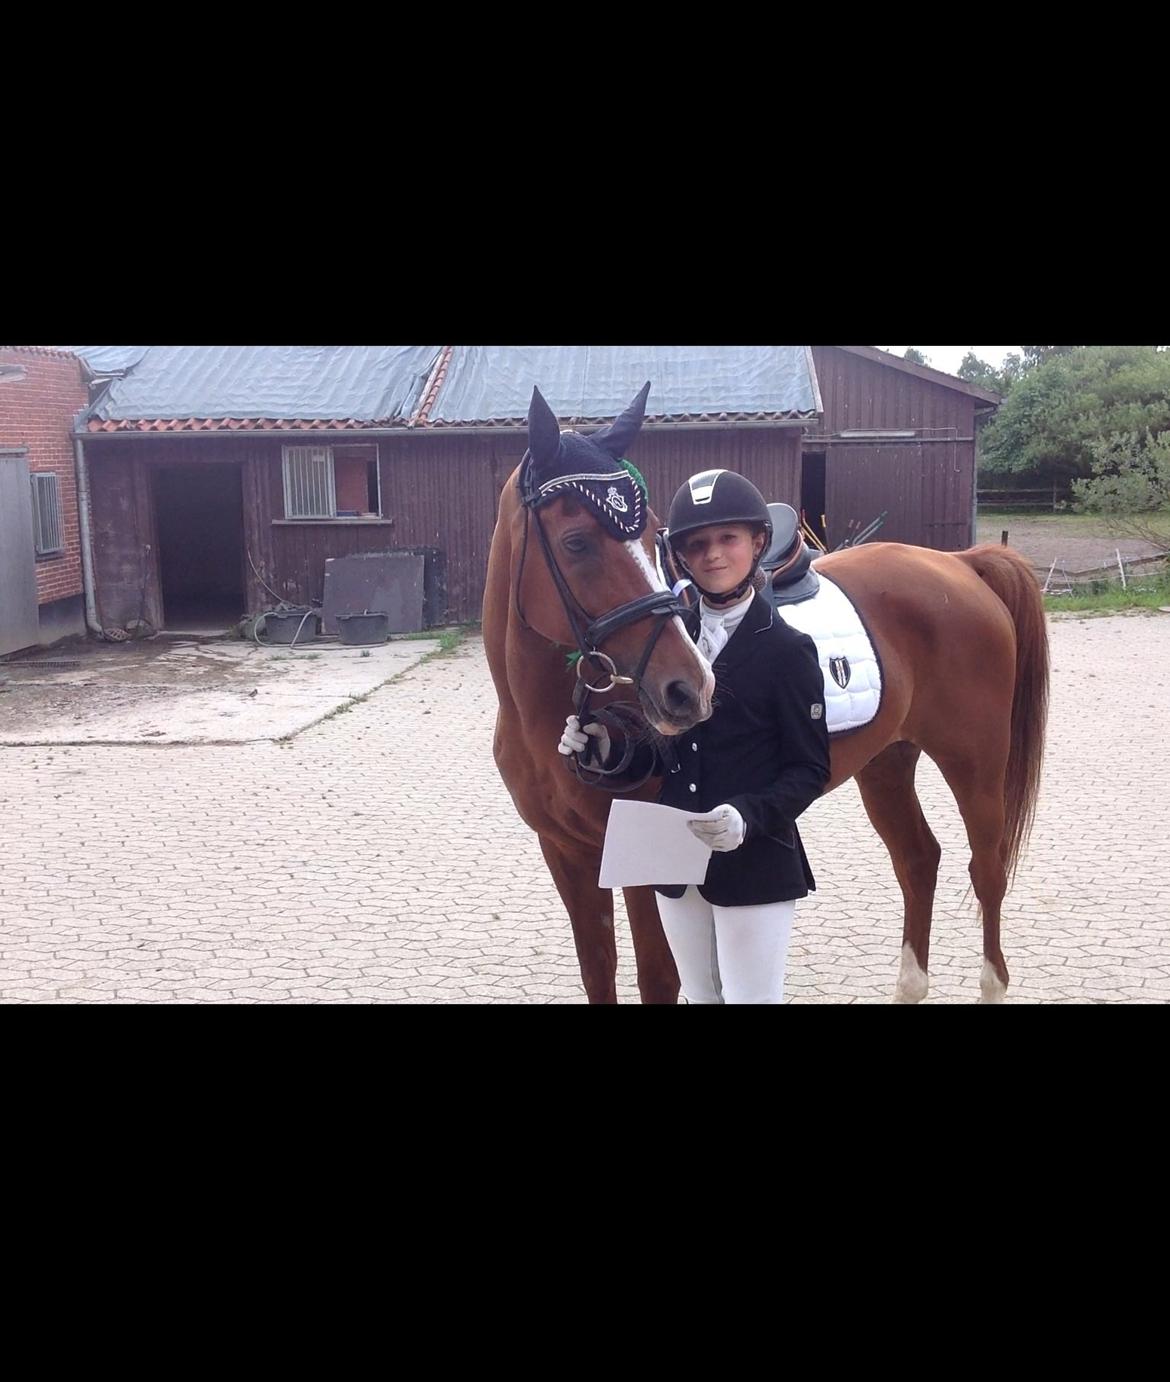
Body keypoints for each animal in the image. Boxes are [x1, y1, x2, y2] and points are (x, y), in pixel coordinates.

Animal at [482, 384, 1049, 1004]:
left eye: (653, 534)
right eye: (577, 542)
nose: (689, 688)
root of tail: (958, 564)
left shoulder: (643, 864)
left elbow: (657, 977)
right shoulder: (567, 855)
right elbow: (597, 970)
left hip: (975, 760)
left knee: (987, 869)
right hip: (887, 762)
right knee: (919, 859)